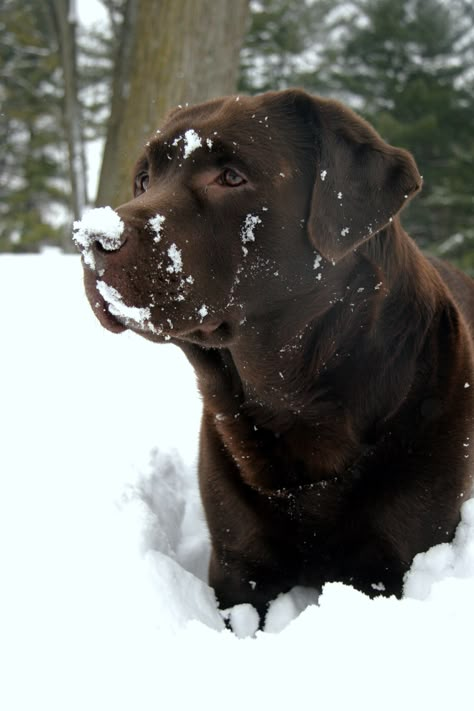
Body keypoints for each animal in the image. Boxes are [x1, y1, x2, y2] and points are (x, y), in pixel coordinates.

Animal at [74, 92, 474, 620]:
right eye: (144, 179)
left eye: (230, 177)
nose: (91, 239)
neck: (295, 397)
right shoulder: (237, 567)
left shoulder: (395, 563)